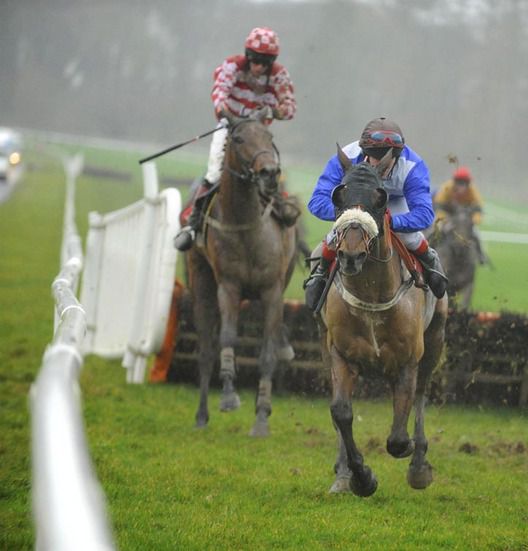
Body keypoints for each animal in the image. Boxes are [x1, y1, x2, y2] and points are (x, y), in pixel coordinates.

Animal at [186, 110, 302, 438]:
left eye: (269, 137)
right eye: (237, 139)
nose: (269, 173)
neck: (245, 224)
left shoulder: (272, 291)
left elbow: (267, 354)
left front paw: (262, 417)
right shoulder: (229, 285)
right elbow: (227, 338)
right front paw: (228, 396)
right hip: (201, 279)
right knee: (206, 349)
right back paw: (201, 415)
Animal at [318, 147, 450, 496]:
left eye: (381, 199)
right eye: (339, 195)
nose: (350, 255)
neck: (372, 297)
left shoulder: (407, 360)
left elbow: (398, 438)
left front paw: (412, 456)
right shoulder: (340, 353)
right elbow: (341, 411)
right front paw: (360, 477)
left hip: (435, 339)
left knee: (420, 394)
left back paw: (418, 464)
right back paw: (343, 475)